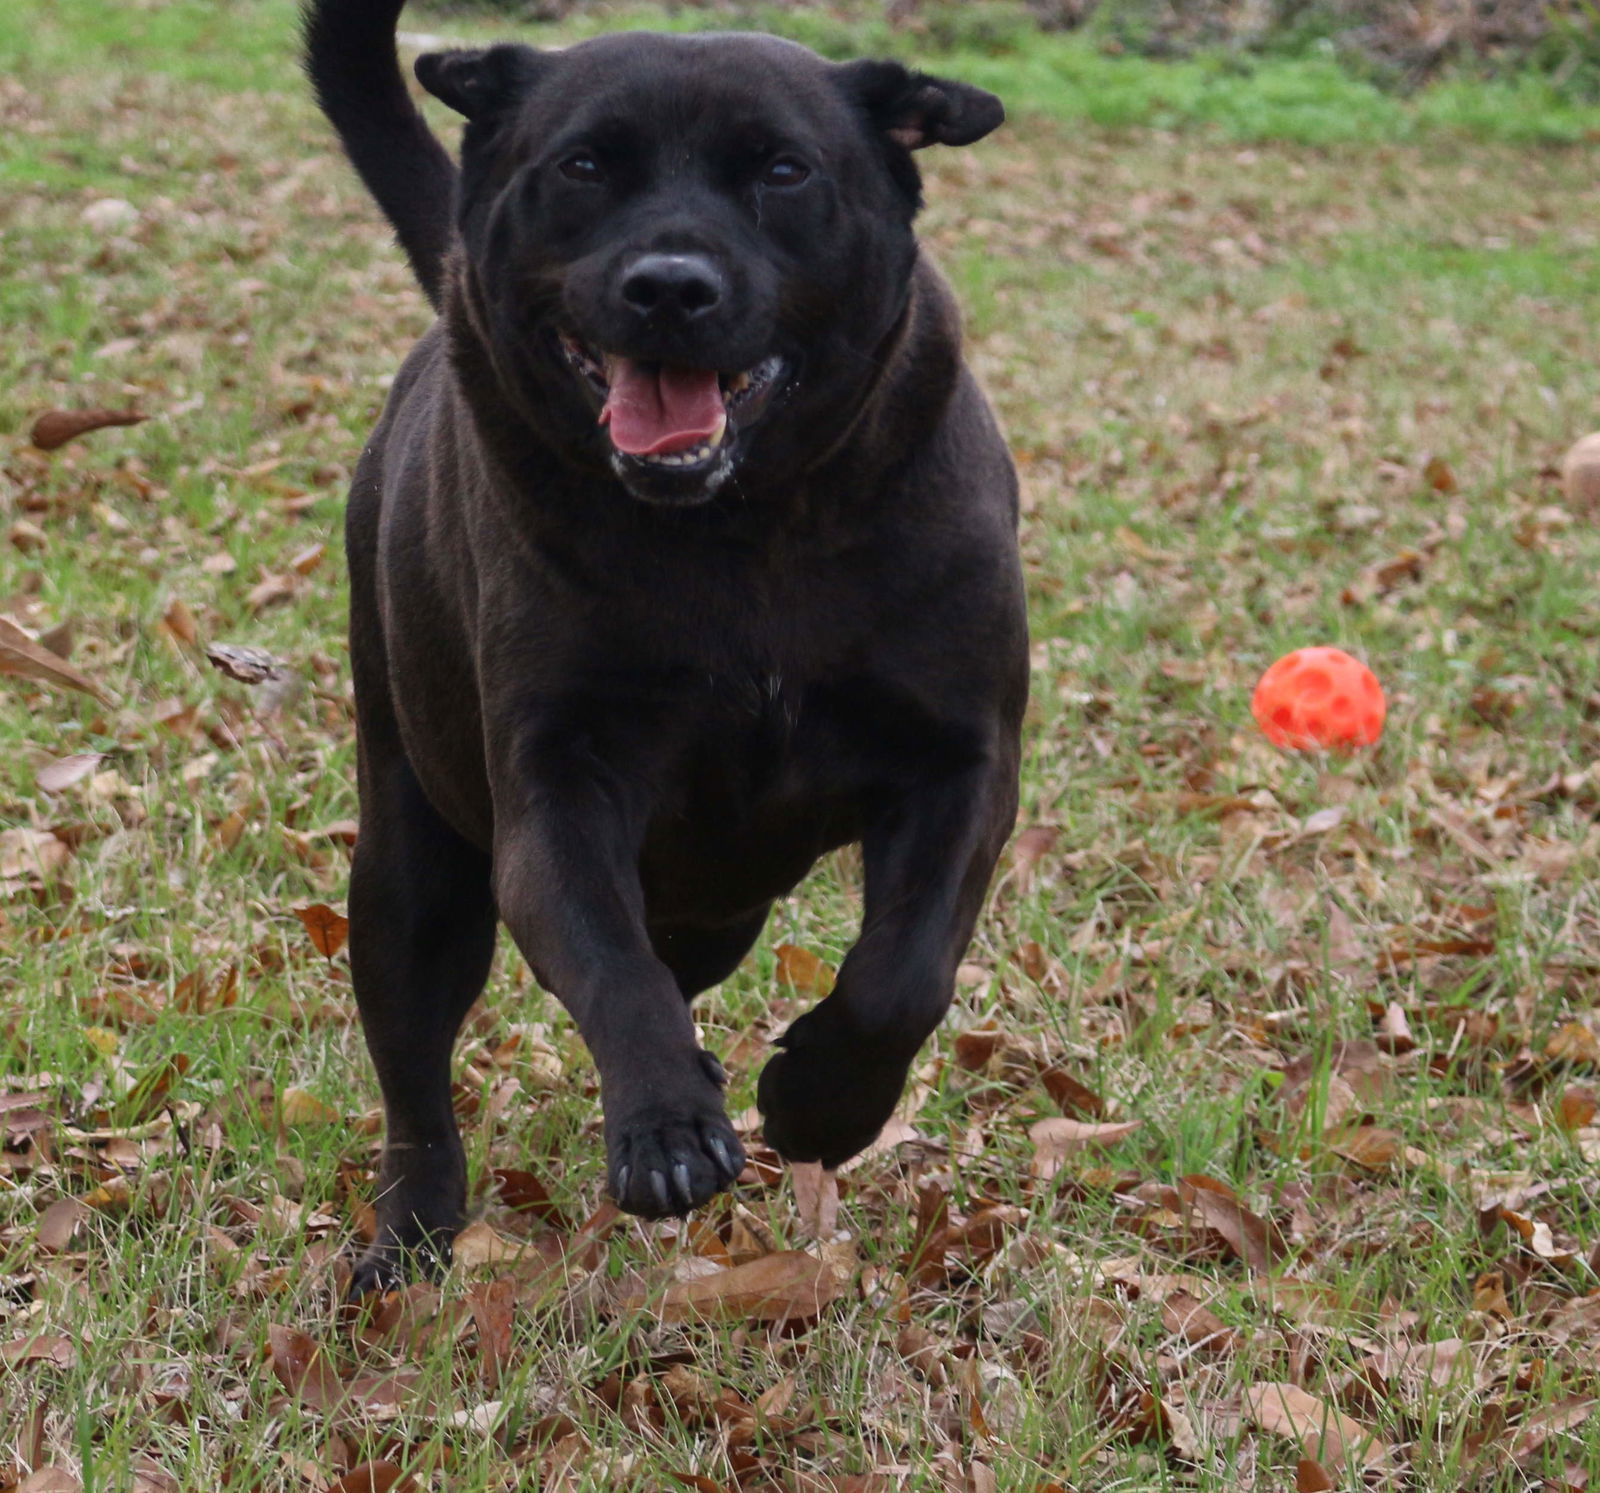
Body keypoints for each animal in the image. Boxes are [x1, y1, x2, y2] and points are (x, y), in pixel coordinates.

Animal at [302, 0, 1024, 1286]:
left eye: (782, 170)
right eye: (585, 165)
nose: (669, 286)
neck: (742, 531)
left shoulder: (961, 758)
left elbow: (903, 970)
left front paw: (820, 1100)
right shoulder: (556, 783)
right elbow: (610, 962)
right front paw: (667, 1124)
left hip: (718, 902)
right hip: (409, 852)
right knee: (415, 1064)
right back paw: (413, 1231)